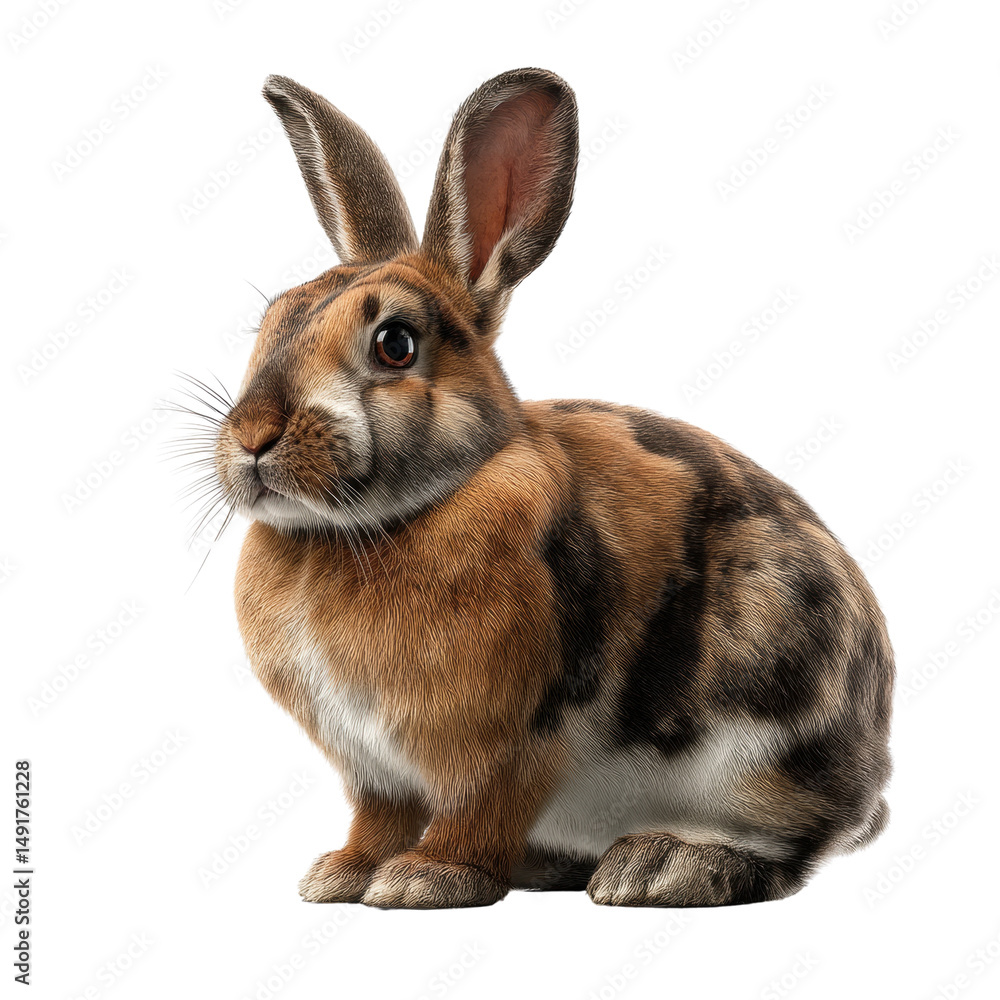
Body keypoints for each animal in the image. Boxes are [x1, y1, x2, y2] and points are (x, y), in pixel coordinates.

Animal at [211, 68, 893, 909]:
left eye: (395, 344)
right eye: (270, 323)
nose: (252, 436)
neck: (373, 524)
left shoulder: (508, 740)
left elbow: (477, 810)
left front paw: (425, 880)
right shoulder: (373, 769)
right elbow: (377, 818)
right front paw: (338, 876)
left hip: (762, 746)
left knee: (790, 845)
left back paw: (660, 865)